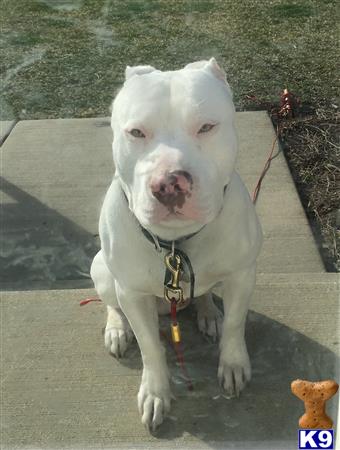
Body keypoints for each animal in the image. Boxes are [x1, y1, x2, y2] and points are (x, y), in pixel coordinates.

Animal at [90, 58, 262, 430]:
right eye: (136, 132)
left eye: (207, 127)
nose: (169, 184)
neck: (174, 244)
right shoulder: (132, 293)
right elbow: (150, 347)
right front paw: (156, 393)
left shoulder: (242, 274)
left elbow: (235, 323)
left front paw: (233, 364)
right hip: (102, 271)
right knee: (111, 304)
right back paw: (117, 330)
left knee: (205, 294)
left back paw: (208, 313)